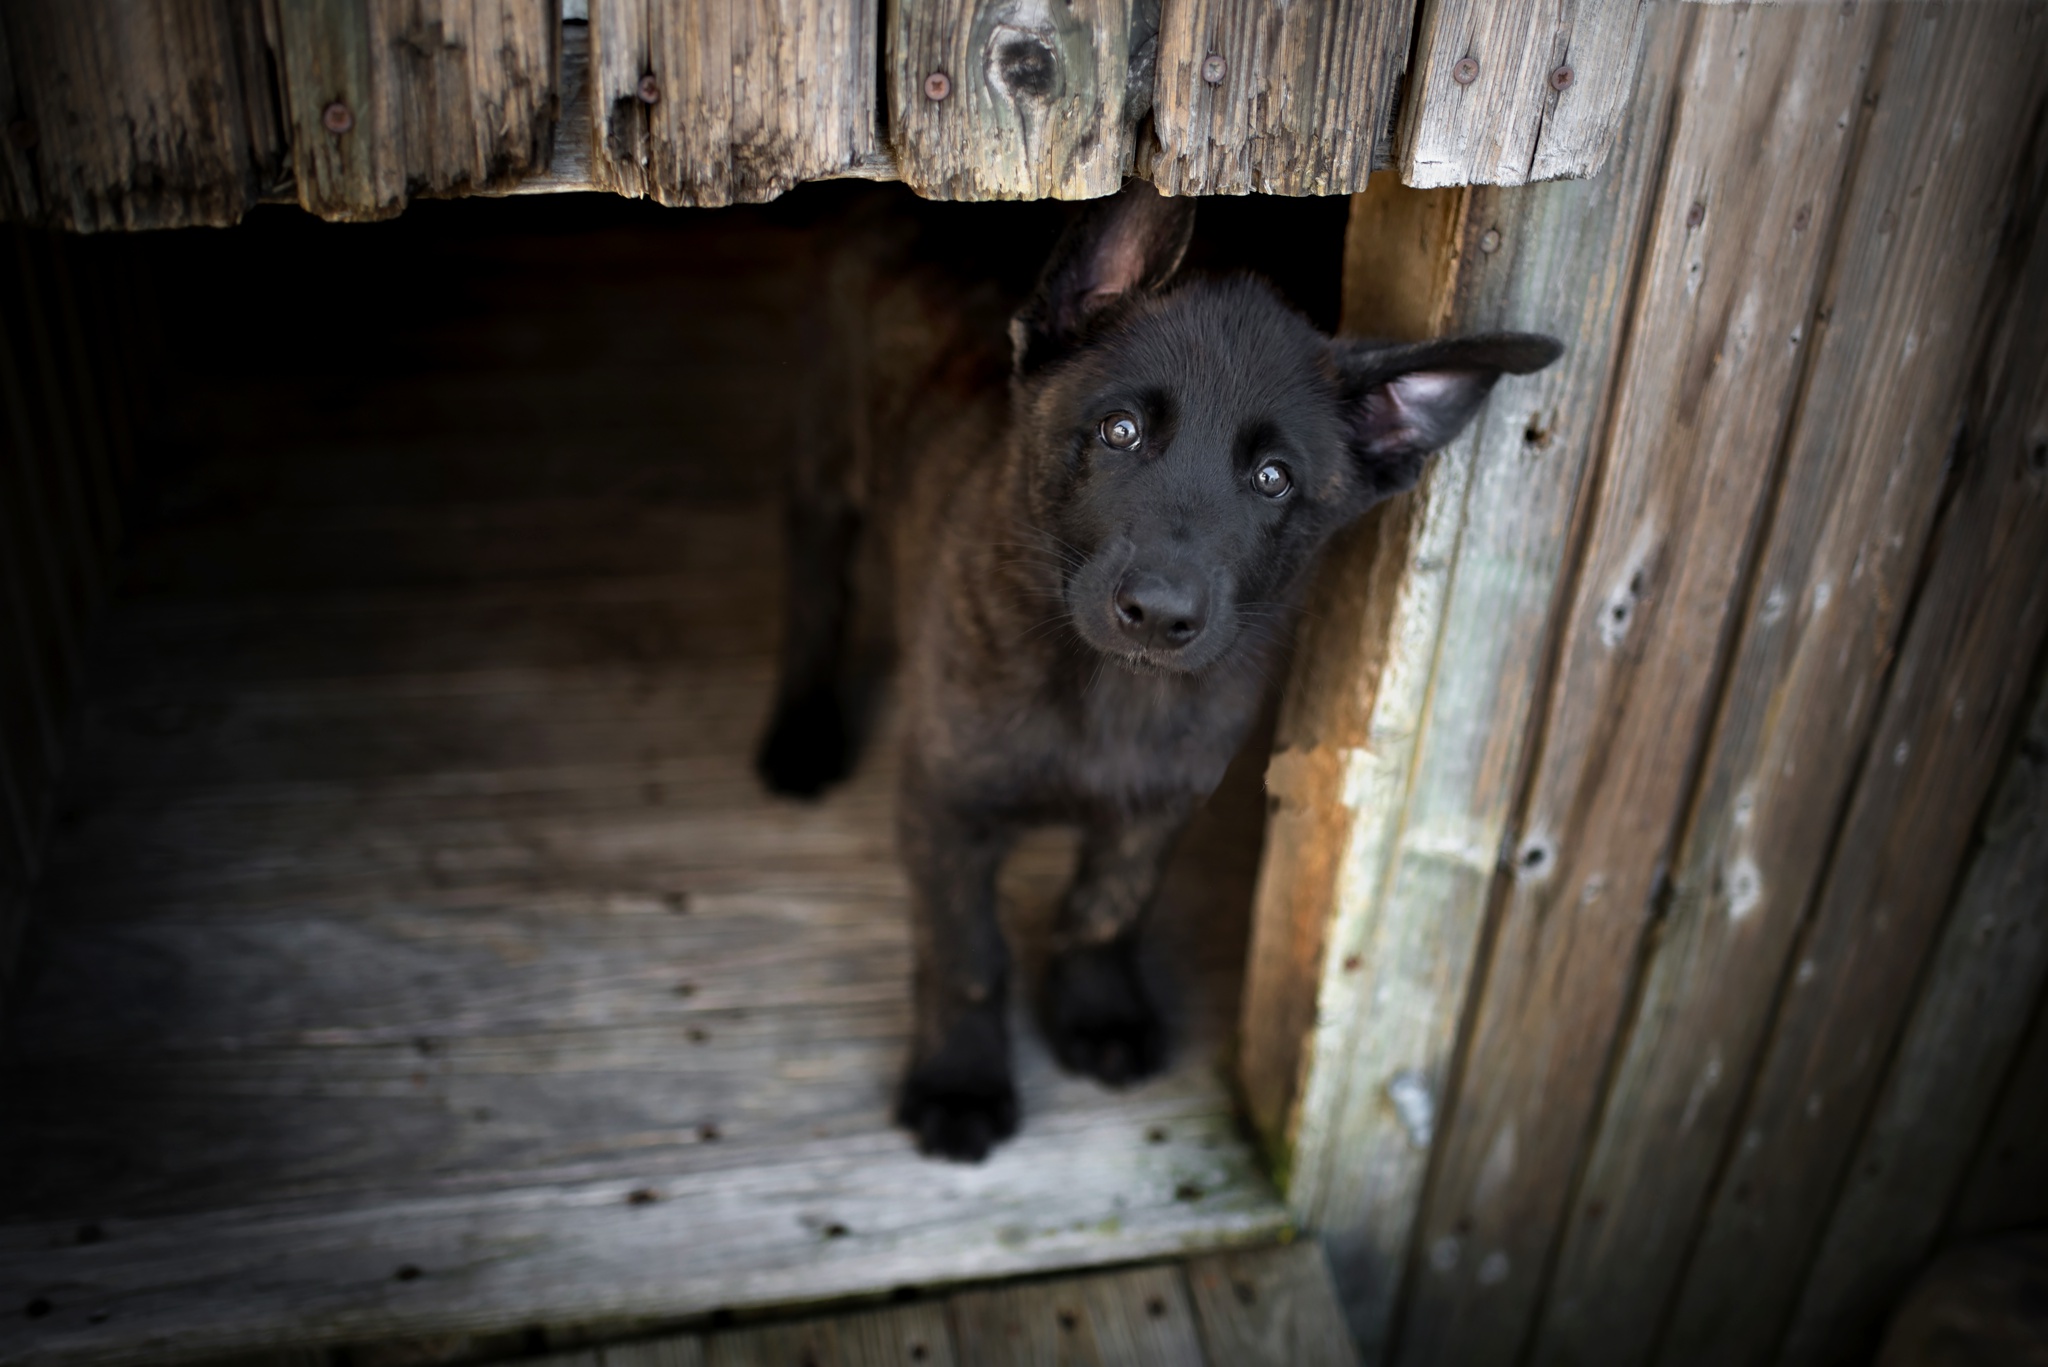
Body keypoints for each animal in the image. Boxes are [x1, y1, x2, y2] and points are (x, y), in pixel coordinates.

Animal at [761, 184, 1556, 1164]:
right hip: (825, 448)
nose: (1161, 614)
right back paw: (800, 733)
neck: (1107, 689)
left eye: (1273, 478)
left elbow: (1108, 907)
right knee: (814, 588)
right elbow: (967, 953)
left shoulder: (1162, 799)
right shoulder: (946, 797)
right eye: (1120, 430)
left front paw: (1098, 1013)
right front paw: (960, 1083)